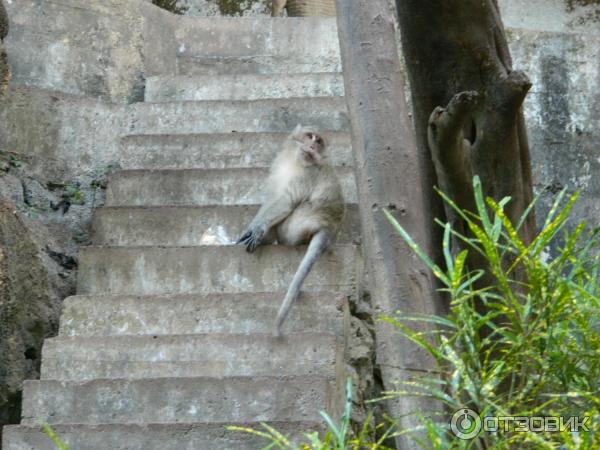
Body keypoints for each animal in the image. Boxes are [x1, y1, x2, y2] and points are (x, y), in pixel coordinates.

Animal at [237, 125, 344, 336]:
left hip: (296, 226)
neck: (296, 162)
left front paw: (257, 228)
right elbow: (272, 196)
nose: (312, 146)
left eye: (319, 142)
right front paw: (253, 227)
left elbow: (285, 201)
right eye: (310, 136)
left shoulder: (308, 175)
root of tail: (328, 227)